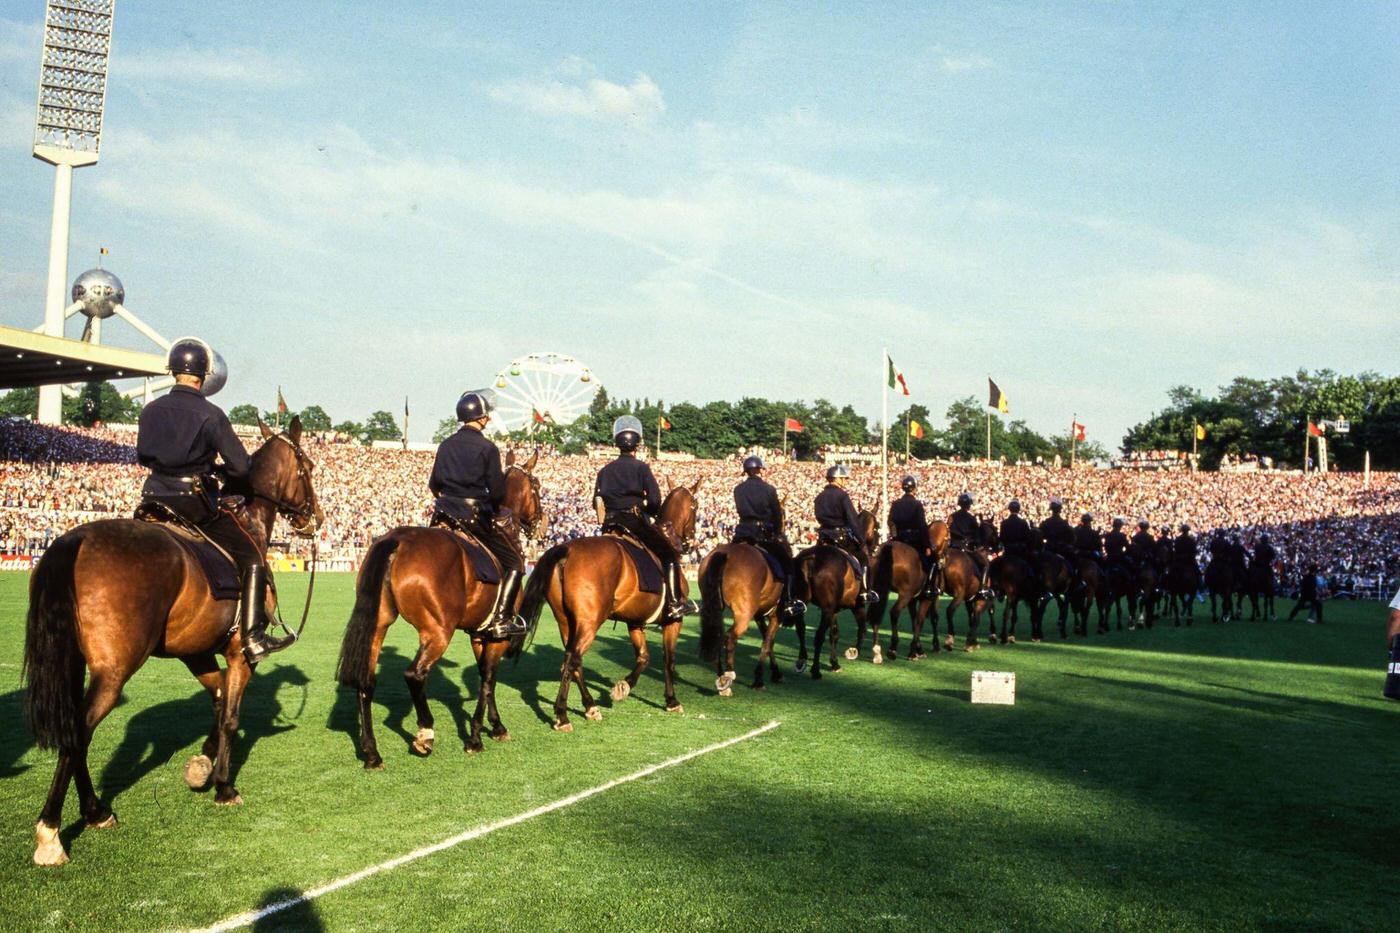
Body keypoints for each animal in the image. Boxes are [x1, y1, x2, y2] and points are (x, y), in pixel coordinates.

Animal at [23, 417, 320, 862]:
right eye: (308, 468)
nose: (314, 519)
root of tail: (73, 541)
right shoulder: (240, 654)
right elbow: (231, 715)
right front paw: (223, 786)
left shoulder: (197, 653)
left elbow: (218, 700)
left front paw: (202, 765)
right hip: (113, 673)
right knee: (79, 733)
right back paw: (52, 833)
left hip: (74, 665)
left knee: (74, 732)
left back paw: (95, 812)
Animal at [333, 448, 540, 762]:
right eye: (537, 486)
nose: (541, 522)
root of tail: (397, 540)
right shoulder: (496, 636)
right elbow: (488, 678)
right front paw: (478, 735)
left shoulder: (478, 634)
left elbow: (485, 677)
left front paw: (492, 726)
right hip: (439, 631)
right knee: (415, 675)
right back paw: (425, 734)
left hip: (378, 625)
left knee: (366, 681)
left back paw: (371, 752)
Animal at [520, 479, 700, 728]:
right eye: (695, 506)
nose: (691, 542)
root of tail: (565, 549)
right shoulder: (674, 621)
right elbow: (668, 661)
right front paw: (671, 700)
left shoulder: (635, 622)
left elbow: (644, 657)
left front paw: (623, 687)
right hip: (589, 623)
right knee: (572, 661)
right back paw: (562, 715)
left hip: (566, 622)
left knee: (574, 661)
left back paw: (590, 706)